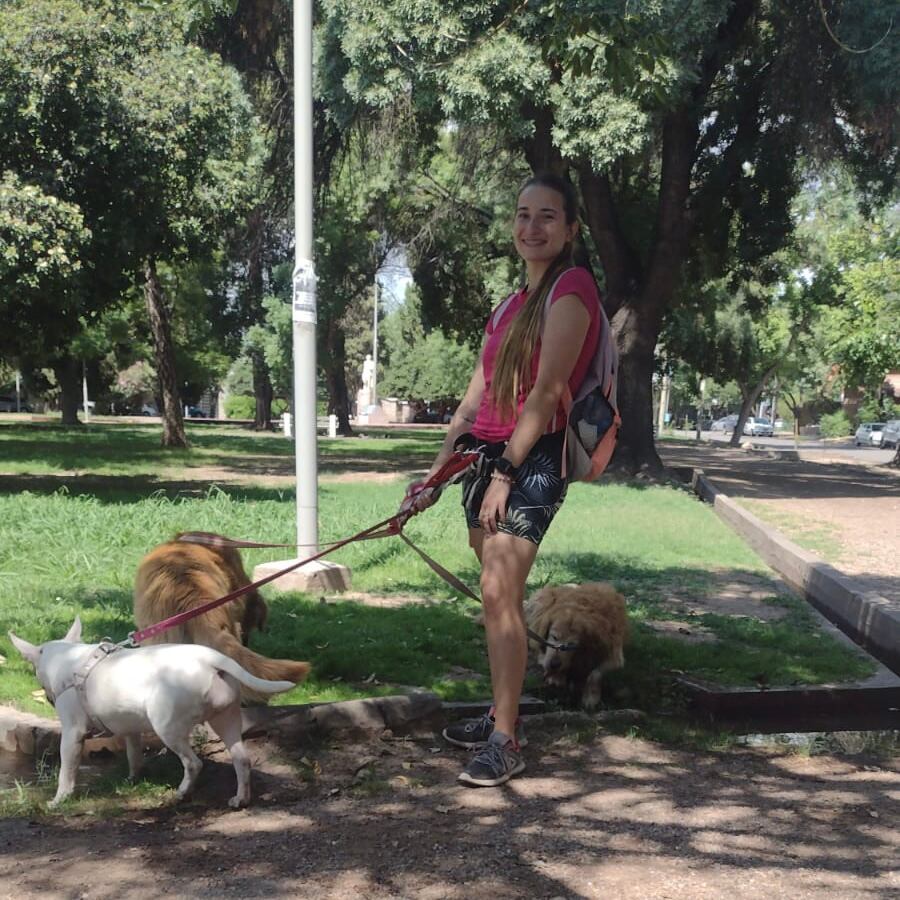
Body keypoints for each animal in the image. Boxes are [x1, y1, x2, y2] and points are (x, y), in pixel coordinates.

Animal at [9, 620, 296, 808]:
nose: (48, 697)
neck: (69, 660)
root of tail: (213, 659)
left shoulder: (72, 733)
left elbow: (67, 770)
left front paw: (58, 800)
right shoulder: (130, 728)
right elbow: (134, 755)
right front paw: (132, 779)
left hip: (168, 726)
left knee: (193, 763)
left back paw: (182, 793)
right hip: (227, 719)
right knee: (241, 759)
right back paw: (240, 799)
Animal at [528, 584, 624, 712]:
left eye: (571, 645)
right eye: (554, 637)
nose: (554, 665)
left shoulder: (614, 654)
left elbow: (596, 673)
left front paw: (591, 696)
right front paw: (556, 676)